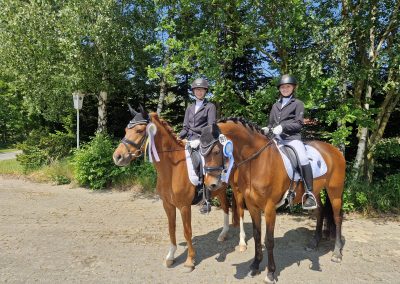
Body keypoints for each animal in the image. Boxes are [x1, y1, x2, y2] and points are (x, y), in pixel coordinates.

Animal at [112, 106, 234, 270]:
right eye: (126, 130)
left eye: (139, 130)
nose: (117, 157)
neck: (171, 169)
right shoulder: (168, 205)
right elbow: (171, 229)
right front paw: (170, 256)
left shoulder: (184, 206)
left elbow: (187, 231)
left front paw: (190, 260)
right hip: (219, 189)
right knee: (226, 206)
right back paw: (223, 234)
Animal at [202, 118, 346, 282]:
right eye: (201, 152)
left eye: (216, 151)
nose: (211, 184)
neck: (257, 162)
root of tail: (334, 149)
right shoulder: (252, 206)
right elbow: (257, 236)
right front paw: (255, 266)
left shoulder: (270, 208)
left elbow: (269, 240)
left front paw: (270, 273)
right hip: (315, 191)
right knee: (320, 210)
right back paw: (314, 243)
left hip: (335, 192)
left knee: (337, 218)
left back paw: (337, 253)